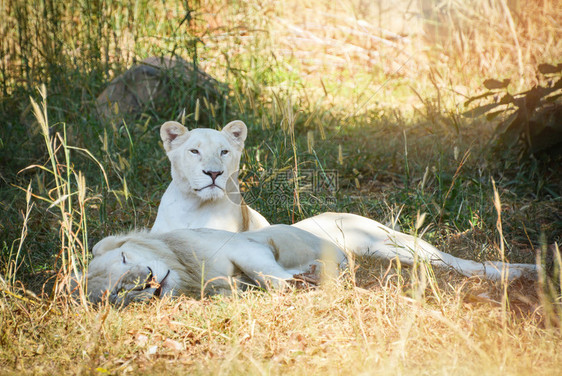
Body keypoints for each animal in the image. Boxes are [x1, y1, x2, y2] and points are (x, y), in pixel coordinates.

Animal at [86, 225, 344, 304]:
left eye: (124, 257)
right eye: (117, 292)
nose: (147, 280)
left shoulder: (243, 246)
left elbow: (266, 272)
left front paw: (300, 285)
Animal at [148, 120, 532, 282]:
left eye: (224, 152)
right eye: (194, 151)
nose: (213, 173)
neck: (195, 207)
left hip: (400, 245)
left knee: (460, 263)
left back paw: (523, 272)